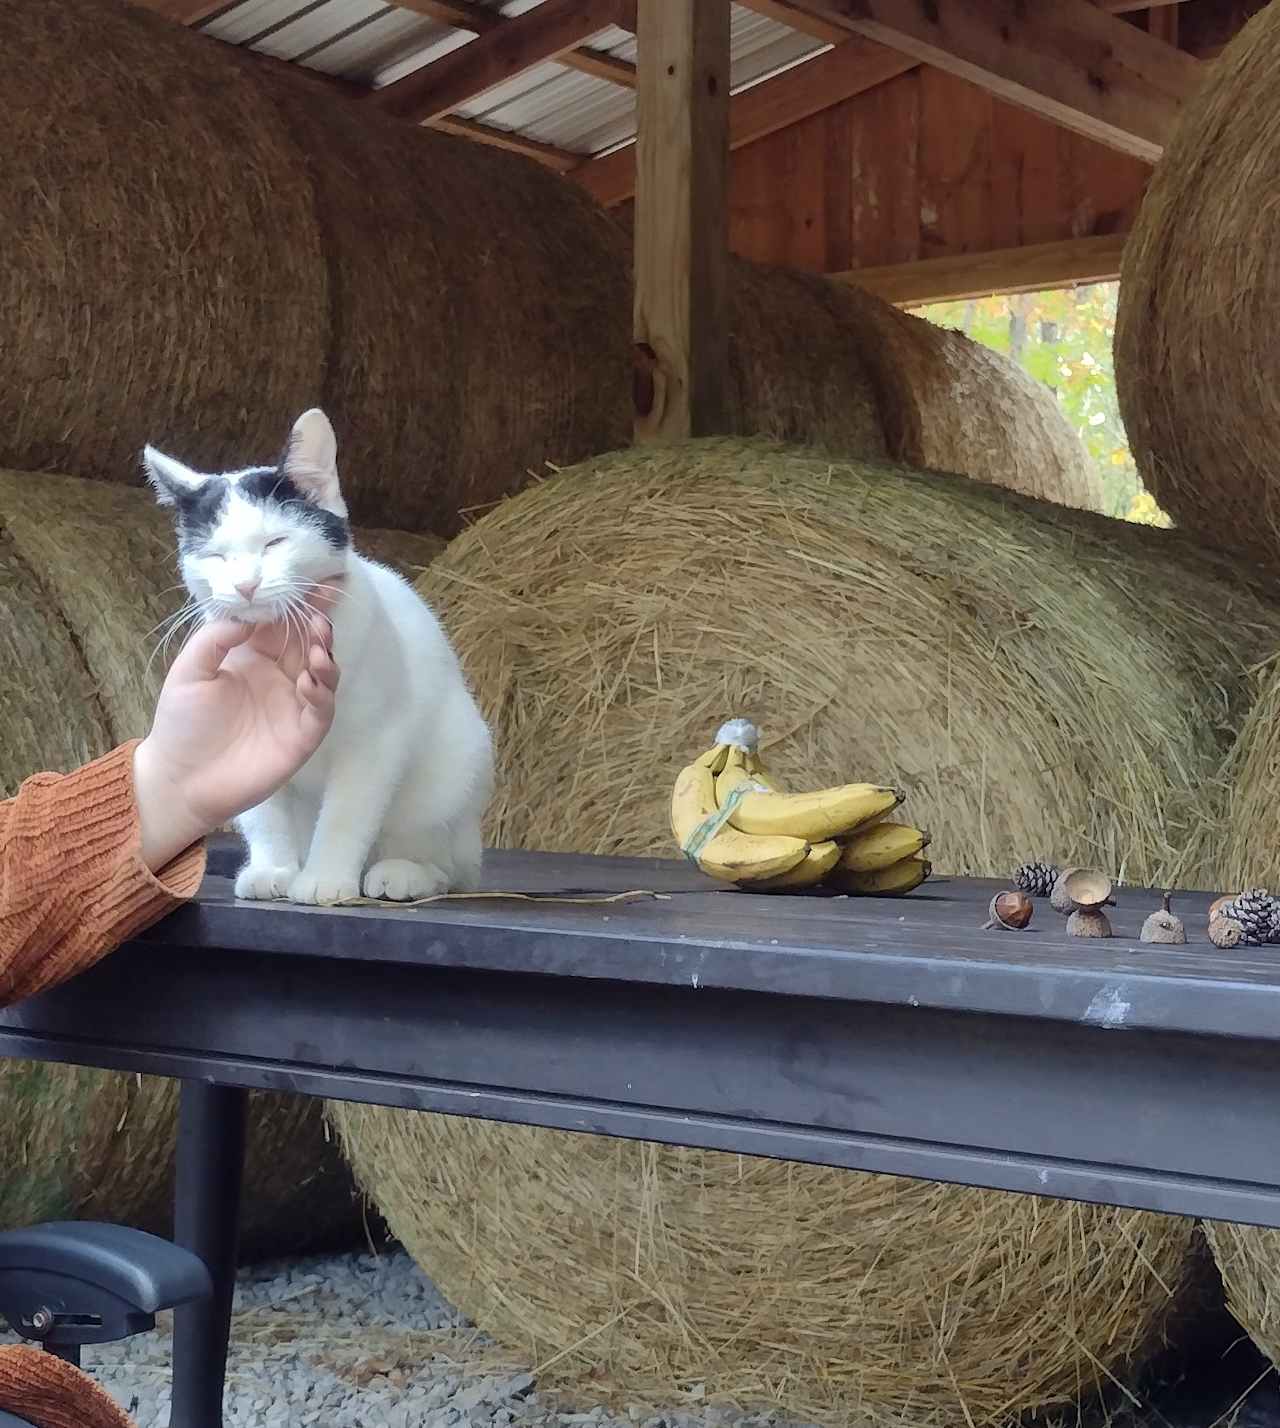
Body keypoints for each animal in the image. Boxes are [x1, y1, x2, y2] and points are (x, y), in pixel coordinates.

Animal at [143, 405, 494, 902]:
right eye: (215, 557)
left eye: (275, 543)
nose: (245, 585)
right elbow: (264, 814)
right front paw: (273, 868)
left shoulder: (375, 740)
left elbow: (347, 814)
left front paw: (326, 877)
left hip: (455, 766)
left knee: (448, 864)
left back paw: (405, 872)